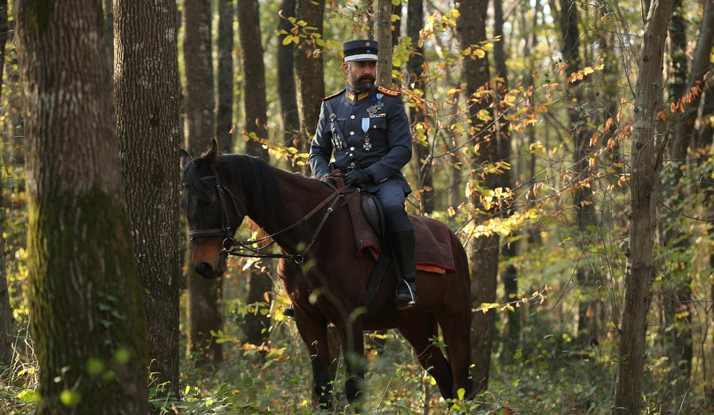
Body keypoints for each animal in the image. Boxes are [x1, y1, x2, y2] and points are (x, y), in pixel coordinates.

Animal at [181, 141, 470, 408]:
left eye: (208, 200)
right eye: (185, 204)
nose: (203, 266)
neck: (314, 235)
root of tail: (453, 239)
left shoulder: (350, 319)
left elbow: (354, 389)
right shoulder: (307, 318)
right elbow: (322, 387)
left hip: (454, 318)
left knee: (462, 383)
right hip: (415, 325)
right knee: (446, 381)